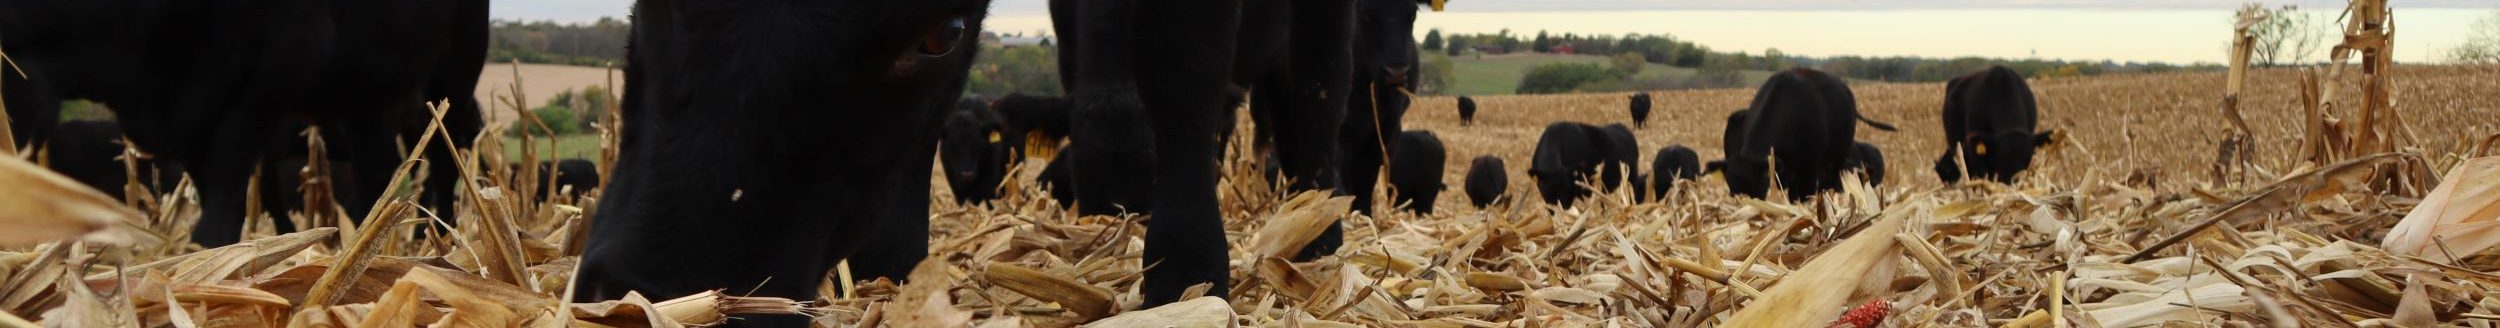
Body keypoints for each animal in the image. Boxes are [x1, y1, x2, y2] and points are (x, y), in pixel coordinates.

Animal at [1, 0, 487, 245]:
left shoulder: (268, 79)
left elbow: (223, 191)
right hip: (367, 103)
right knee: (377, 177)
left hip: (447, 85)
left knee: (444, 167)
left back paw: (435, 237)